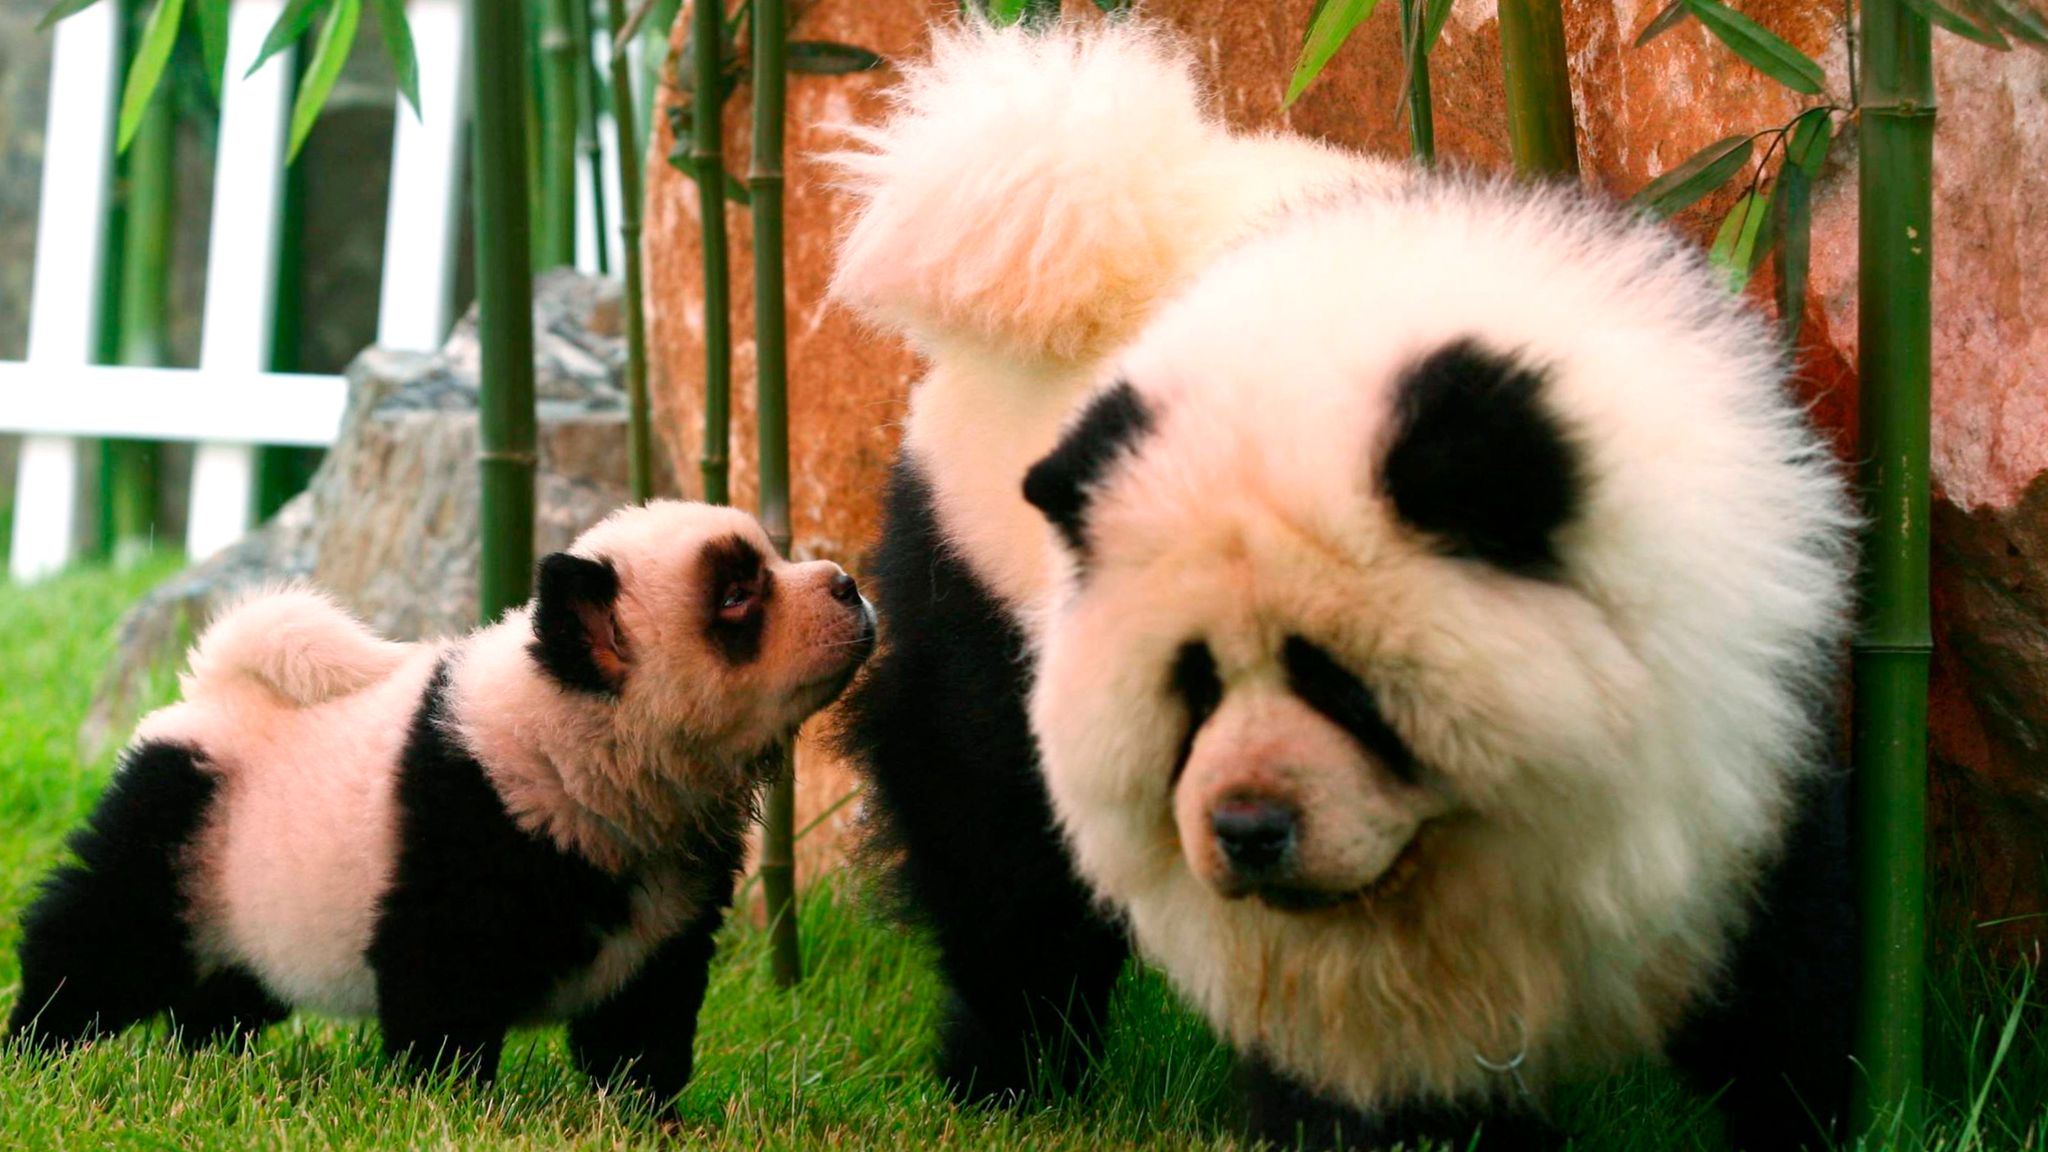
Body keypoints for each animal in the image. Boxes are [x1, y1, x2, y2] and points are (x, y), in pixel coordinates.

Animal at [7, 500, 876, 1105]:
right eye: (737, 596)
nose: (848, 585)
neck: (579, 738)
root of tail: (216, 687)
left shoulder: (669, 896)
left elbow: (644, 1013)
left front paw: (645, 1112)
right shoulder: (471, 823)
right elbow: (443, 991)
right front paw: (447, 1103)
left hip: (247, 888)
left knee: (226, 991)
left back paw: (206, 1063)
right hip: (180, 825)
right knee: (99, 939)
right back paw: (39, 1050)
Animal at [832, 19, 1858, 1151]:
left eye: (1341, 685)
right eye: (1191, 689)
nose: (1249, 831)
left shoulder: (1743, 688)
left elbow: (1784, 956)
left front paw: (1806, 1110)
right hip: (976, 566)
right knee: (992, 844)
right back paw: (1008, 1078)